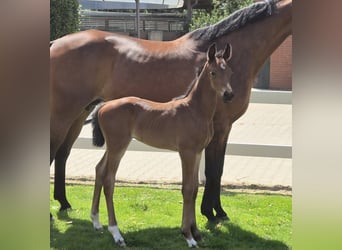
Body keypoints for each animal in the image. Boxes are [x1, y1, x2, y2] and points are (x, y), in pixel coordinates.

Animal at [50, 0, 292, 221]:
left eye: (229, 72)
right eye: (215, 73)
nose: (227, 94)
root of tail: (55, 44)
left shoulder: (223, 129)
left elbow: (218, 170)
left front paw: (216, 211)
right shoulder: (220, 126)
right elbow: (213, 171)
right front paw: (211, 212)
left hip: (80, 113)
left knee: (62, 154)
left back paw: (64, 203)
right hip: (62, 115)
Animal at [89, 43, 234, 248]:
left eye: (229, 71)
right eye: (213, 73)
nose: (229, 94)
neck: (195, 111)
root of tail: (103, 106)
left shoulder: (197, 152)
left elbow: (194, 189)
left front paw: (196, 233)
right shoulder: (186, 152)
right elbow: (187, 189)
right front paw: (188, 236)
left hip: (113, 146)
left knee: (100, 170)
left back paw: (96, 222)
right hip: (118, 146)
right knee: (109, 180)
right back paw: (116, 234)